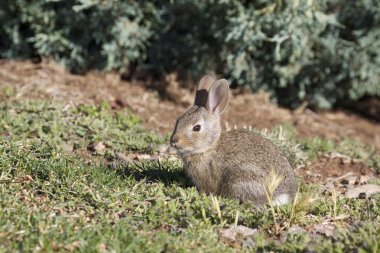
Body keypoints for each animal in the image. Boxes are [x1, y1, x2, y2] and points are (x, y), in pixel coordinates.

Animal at [169, 74, 296, 206]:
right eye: (178, 120)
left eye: (197, 128)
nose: (173, 141)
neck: (210, 147)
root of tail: (283, 195)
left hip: (240, 179)